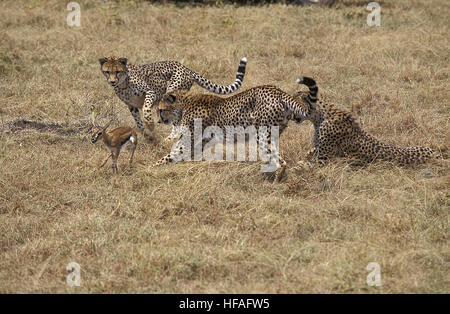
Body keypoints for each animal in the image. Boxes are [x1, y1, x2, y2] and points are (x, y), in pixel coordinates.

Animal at [98, 56, 248, 140]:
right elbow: (139, 123)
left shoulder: (151, 92)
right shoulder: (131, 106)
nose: (112, 81)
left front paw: (150, 124)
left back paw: (172, 137)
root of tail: (186, 68)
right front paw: (148, 135)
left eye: (118, 71)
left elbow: (146, 108)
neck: (123, 84)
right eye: (107, 72)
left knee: (176, 120)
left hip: (170, 93)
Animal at [153, 84, 308, 182]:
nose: (159, 121)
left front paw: (151, 169)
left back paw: (274, 183)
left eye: (160, 110)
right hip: (273, 135)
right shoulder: (199, 143)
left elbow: (169, 155)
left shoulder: (186, 141)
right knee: (277, 159)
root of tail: (277, 90)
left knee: (281, 163)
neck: (184, 103)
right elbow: (178, 155)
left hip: (262, 135)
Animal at [294, 75, 438, 166]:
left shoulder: (324, 159)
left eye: (294, 99)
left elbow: (305, 165)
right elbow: (310, 153)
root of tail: (437, 154)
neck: (320, 117)